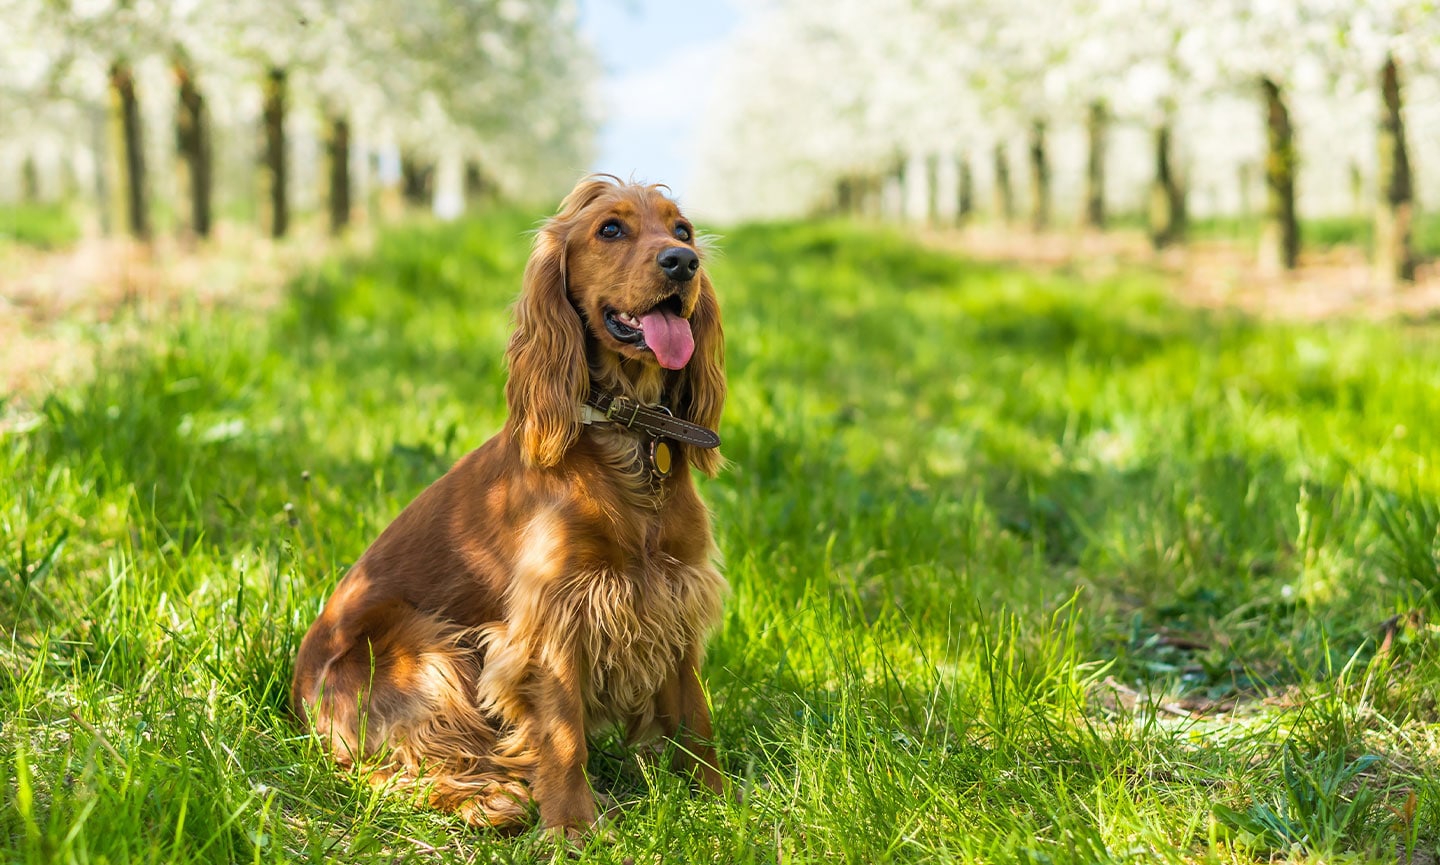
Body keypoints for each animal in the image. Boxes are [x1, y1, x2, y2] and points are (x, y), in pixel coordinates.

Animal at [288, 173, 725, 834]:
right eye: (610, 229)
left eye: (684, 230)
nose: (682, 262)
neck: (627, 438)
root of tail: (296, 696)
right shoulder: (555, 614)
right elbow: (564, 735)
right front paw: (573, 829)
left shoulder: (674, 594)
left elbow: (695, 719)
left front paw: (727, 805)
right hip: (423, 649)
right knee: (388, 772)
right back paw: (492, 800)